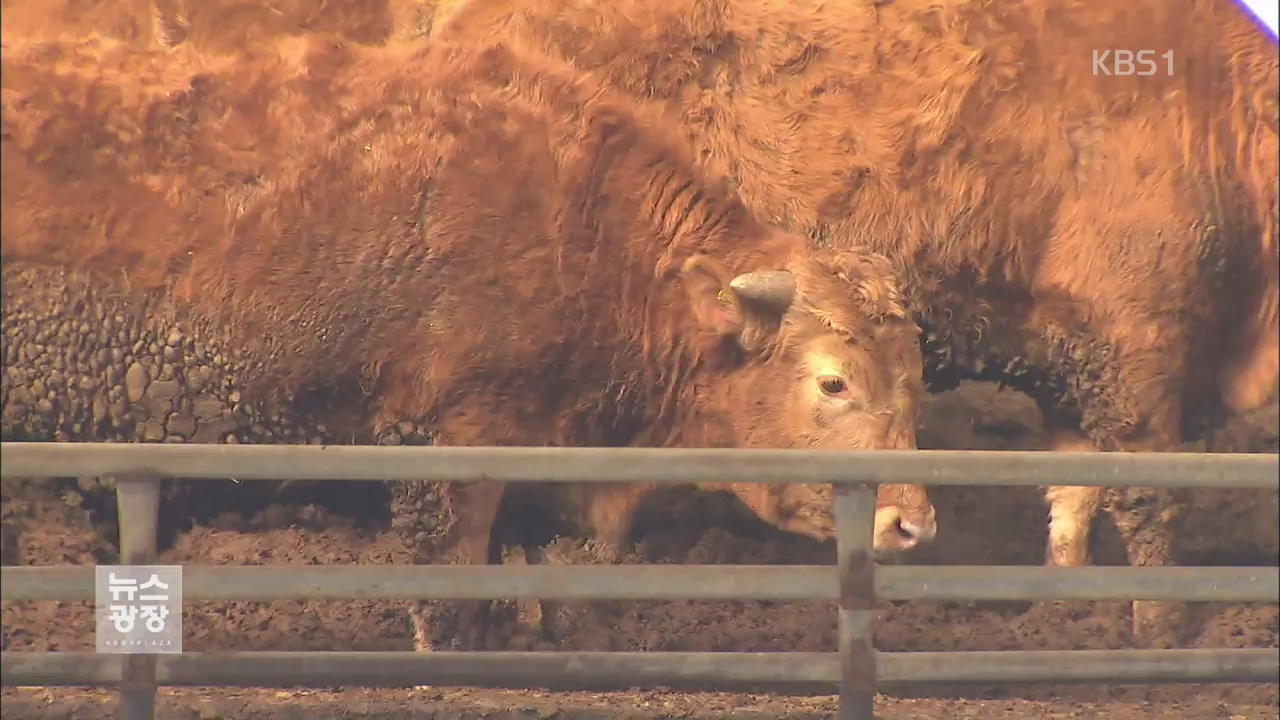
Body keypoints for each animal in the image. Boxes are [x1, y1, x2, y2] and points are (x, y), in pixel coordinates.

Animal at [5, 36, 936, 648]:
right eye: (833, 382)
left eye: (912, 379)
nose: (911, 522)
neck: (591, 238)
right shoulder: (451, 439)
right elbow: (453, 572)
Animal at [432, 0, 1280, 640]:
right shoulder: (1136, 354)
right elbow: (1149, 498)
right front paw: (1159, 627)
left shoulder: (1074, 365)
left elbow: (1071, 499)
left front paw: (1061, 610)